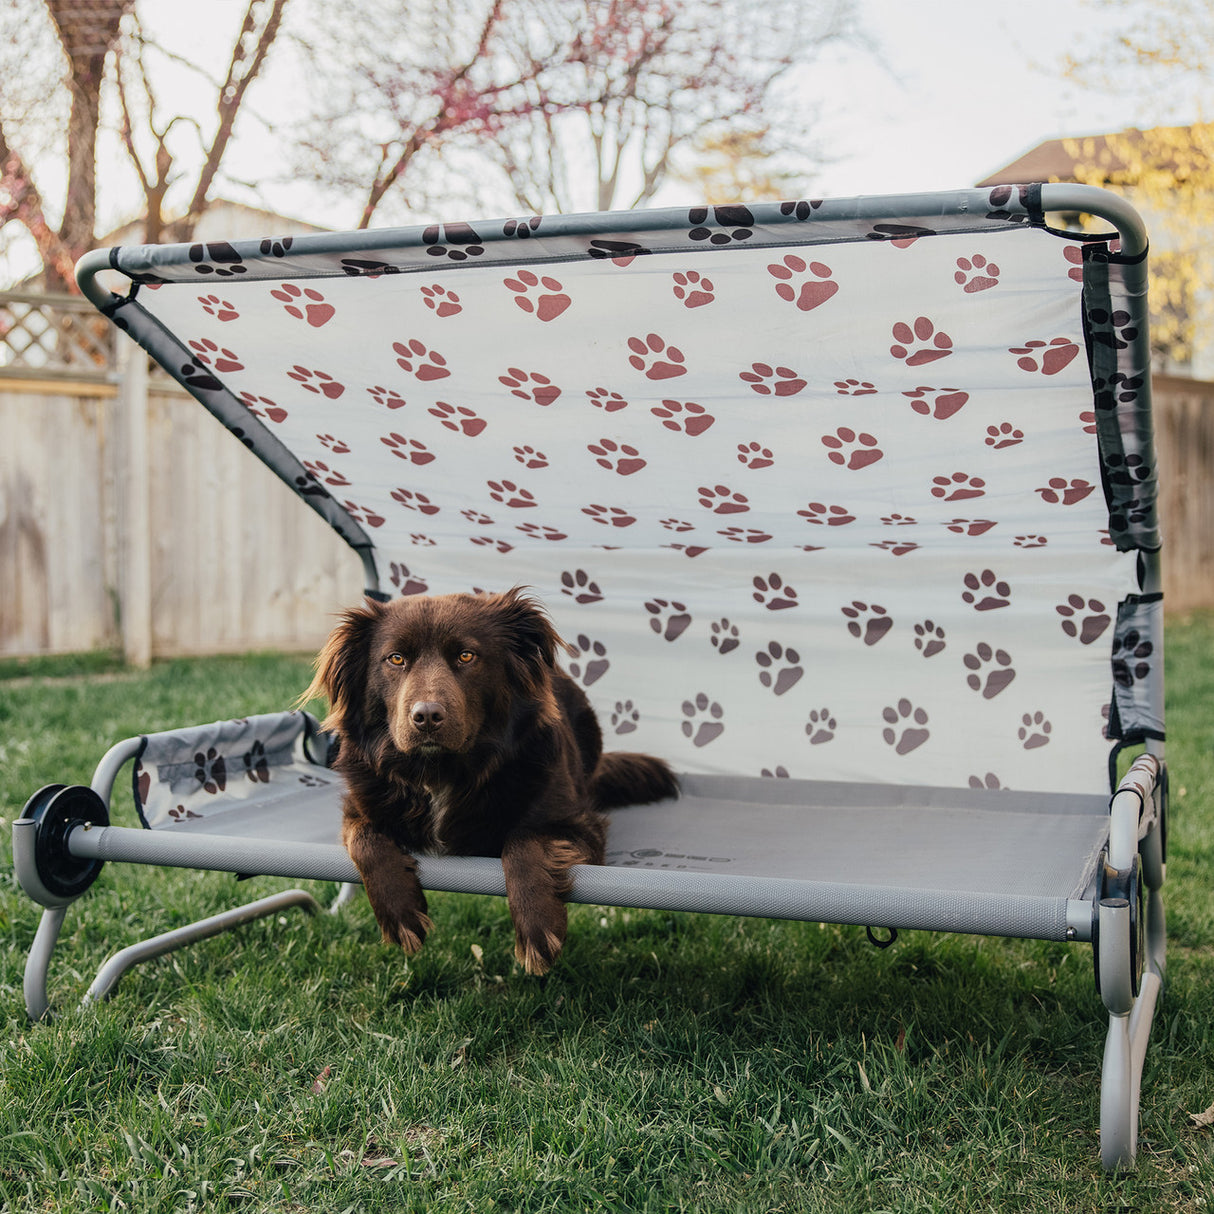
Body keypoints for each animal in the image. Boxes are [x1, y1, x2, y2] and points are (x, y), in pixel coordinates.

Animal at [299, 582, 679, 971]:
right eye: (396, 659)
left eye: (467, 656)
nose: (426, 716)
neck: (440, 771)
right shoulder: (359, 806)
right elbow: (366, 839)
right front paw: (399, 914)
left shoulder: (577, 824)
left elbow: (524, 842)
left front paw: (537, 926)